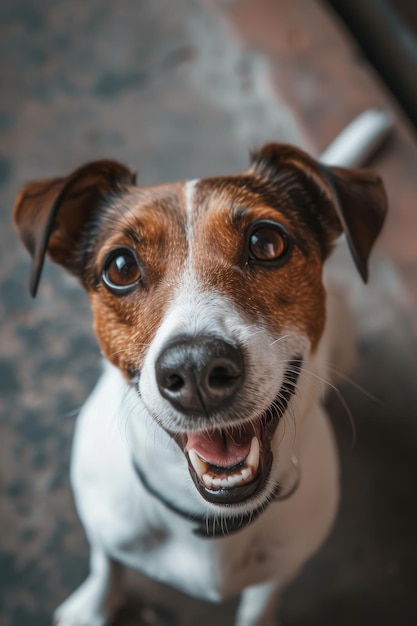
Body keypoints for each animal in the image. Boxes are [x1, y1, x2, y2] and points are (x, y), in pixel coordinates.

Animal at [15, 130, 386, 620]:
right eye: (120, 267)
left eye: (267, 242)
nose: (195, 368)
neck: (213, 522)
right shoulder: (105, 528)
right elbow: (106, 564)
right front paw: (93, 606)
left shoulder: (282, 569)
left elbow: (258, 608)